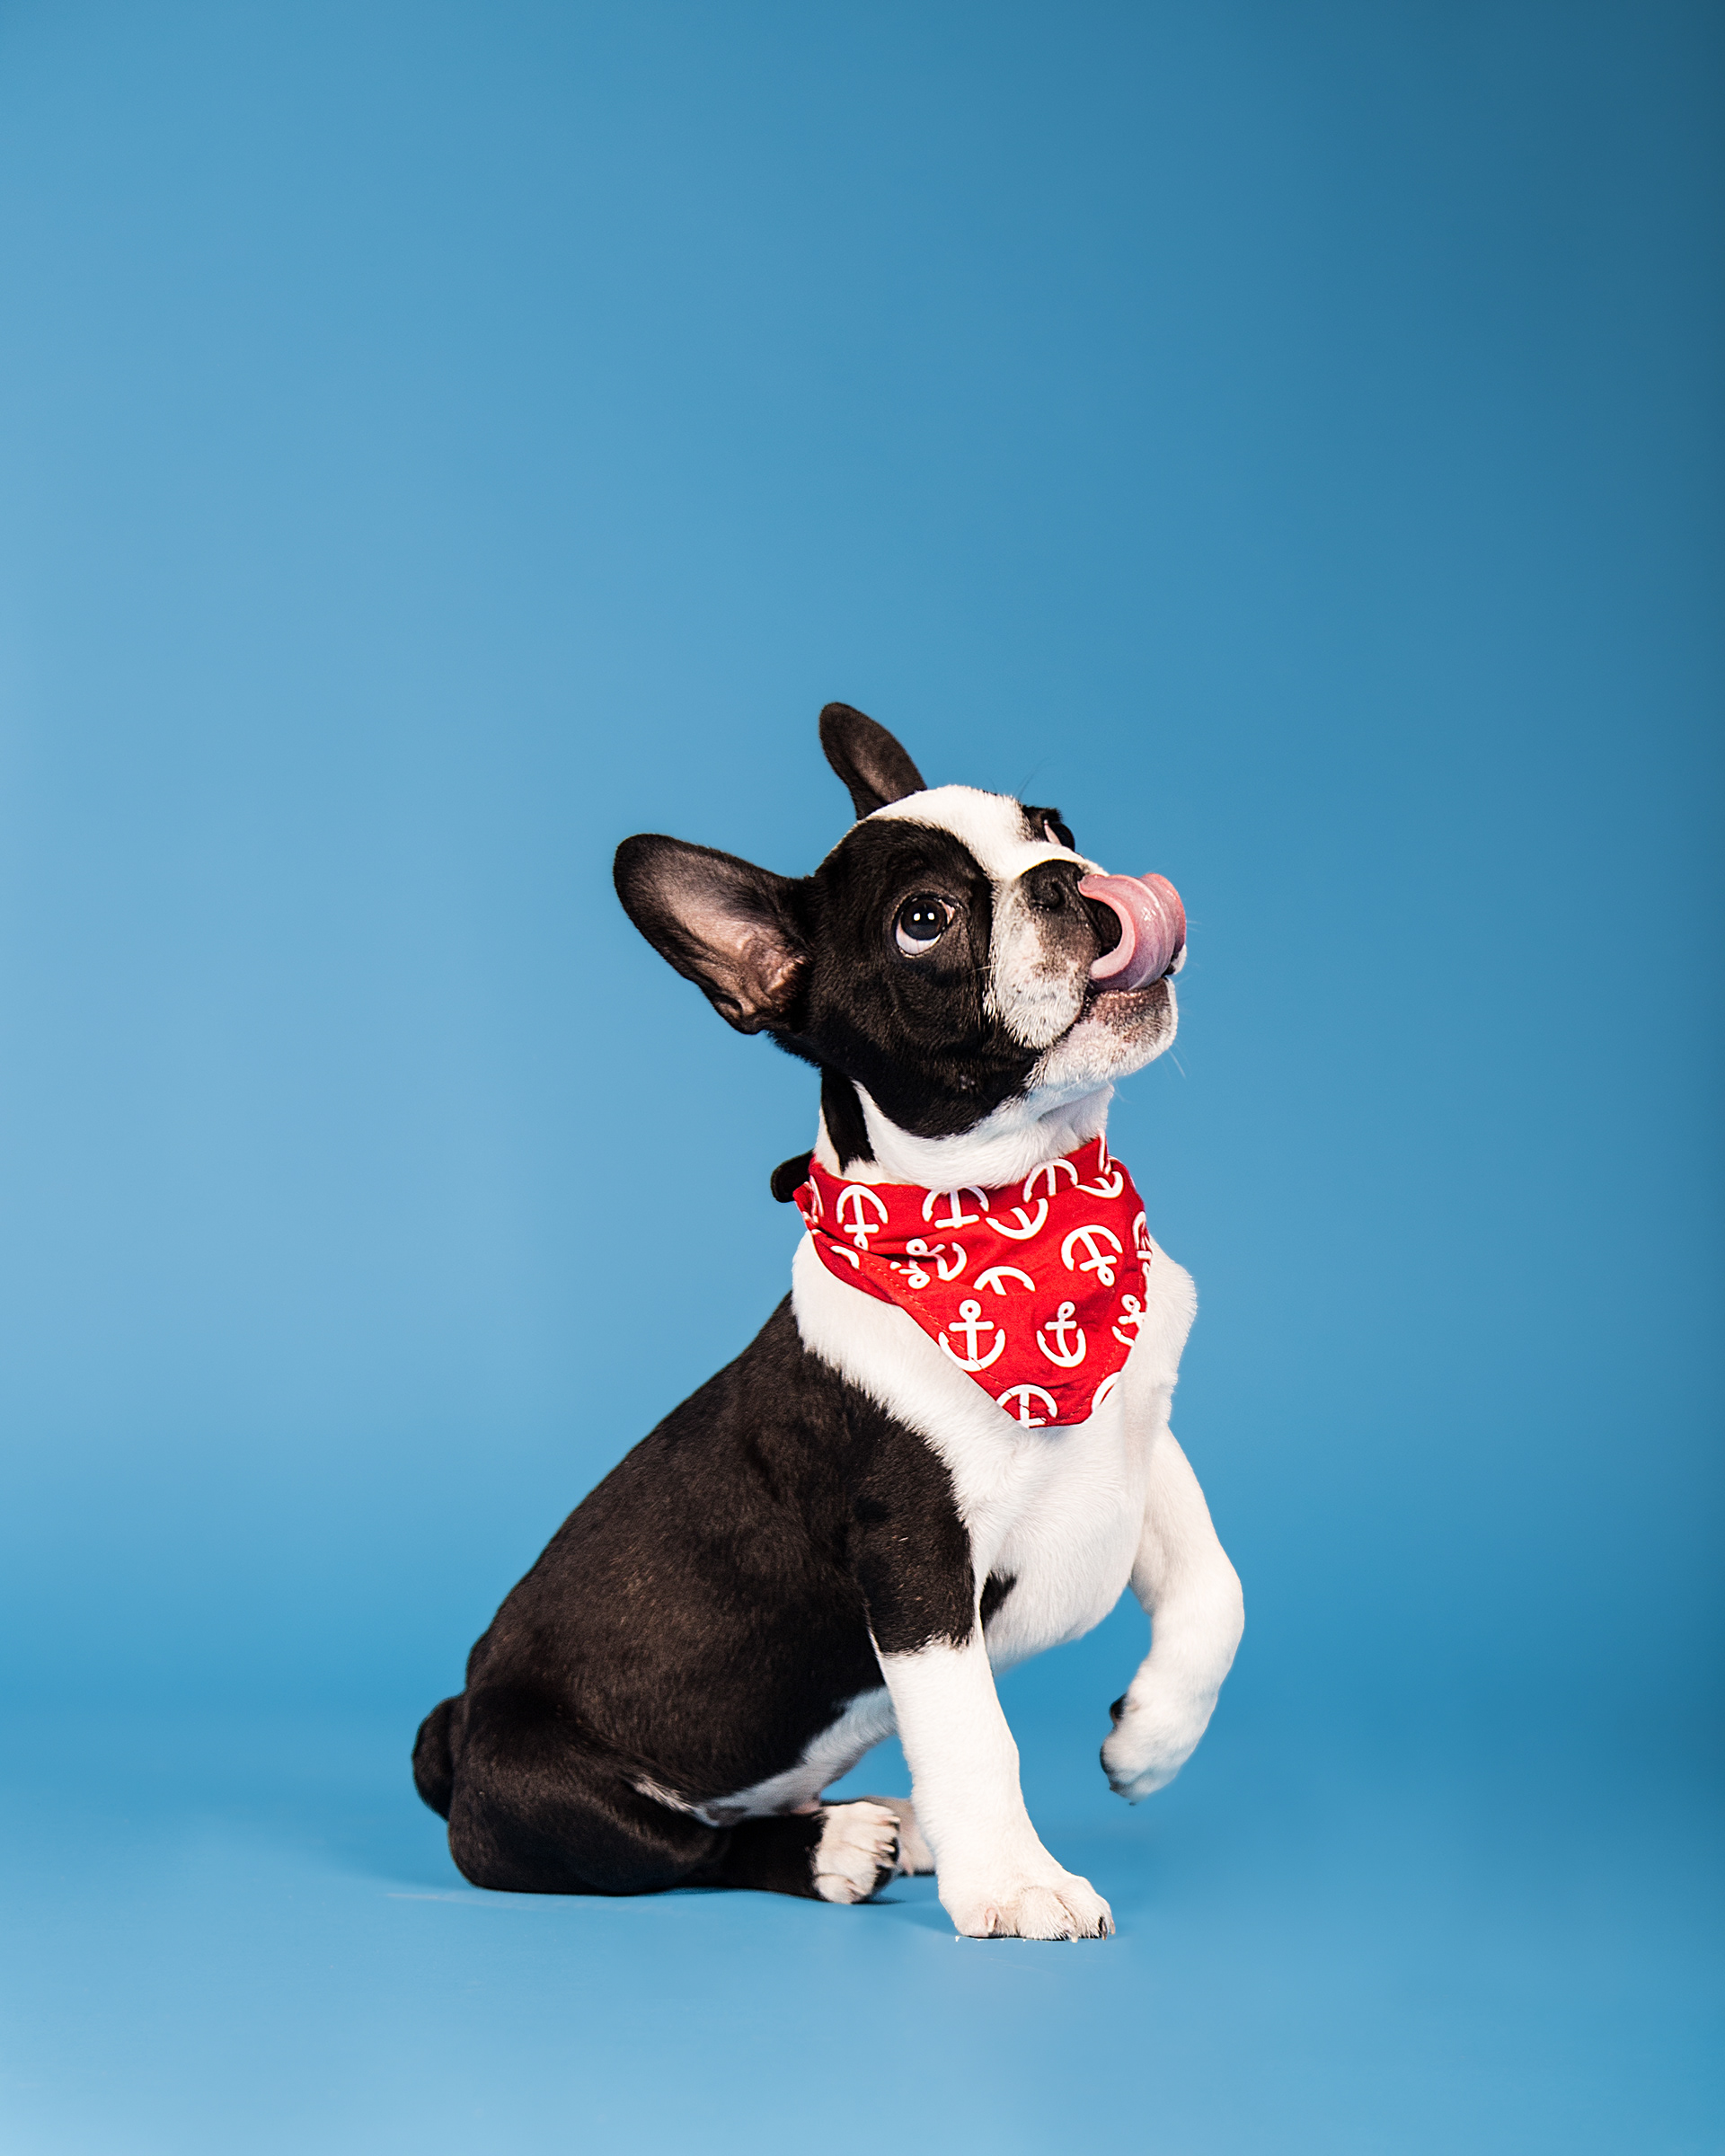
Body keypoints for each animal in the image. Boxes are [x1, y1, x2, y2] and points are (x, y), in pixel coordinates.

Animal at [412, 703, 1243, 1940]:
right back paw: (843, 1842)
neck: (1024, 1218)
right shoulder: (913, 1565)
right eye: (924, 921)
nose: (1063, 878)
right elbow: (974, 1734)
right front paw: (1015, 1882)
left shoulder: (1139, 1431)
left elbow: (1214, 1587)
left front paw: (1149, 1745)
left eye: (1052, 827)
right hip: (552, 1797)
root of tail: (458, 1730)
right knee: (684, 1849)